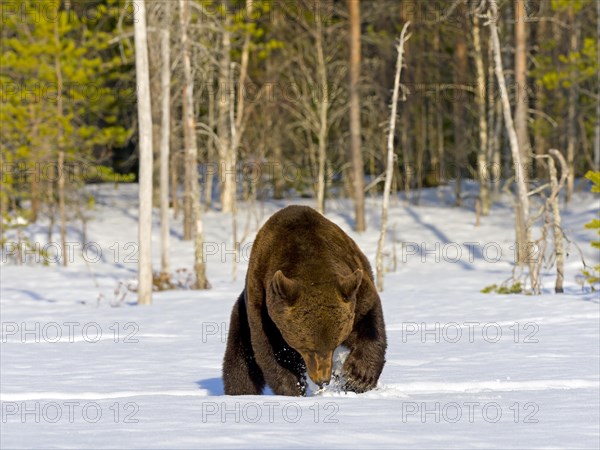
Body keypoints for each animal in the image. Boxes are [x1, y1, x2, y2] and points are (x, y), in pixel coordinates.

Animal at [223, 206, 386, 396]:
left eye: (334, 344)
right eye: (307, 347)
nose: (323, 380)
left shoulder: (355, 289)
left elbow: (370, 322)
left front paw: (358, 378)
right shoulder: (263, 306)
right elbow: (272, 353)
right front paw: (294, 388)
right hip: (242, 315)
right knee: (239, 362)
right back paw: (240, 391)